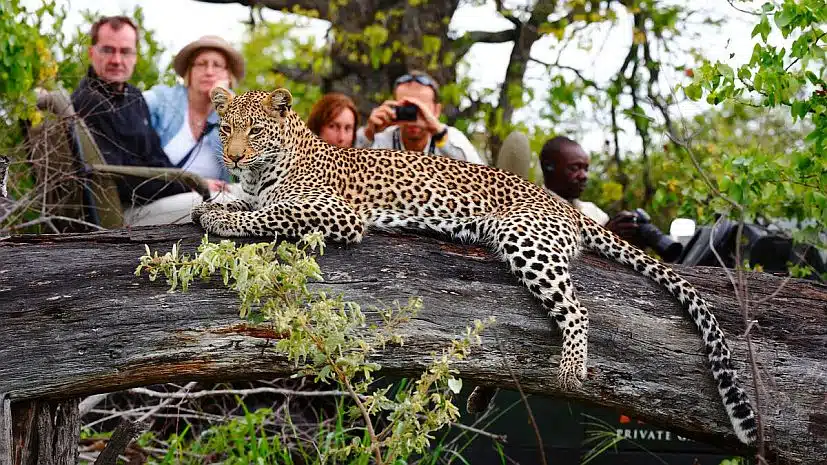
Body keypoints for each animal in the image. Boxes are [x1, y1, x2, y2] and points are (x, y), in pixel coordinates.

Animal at [192, 85, 756, 444]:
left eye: (255, 131)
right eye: (227, 130)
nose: (234, 157)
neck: (266, 168)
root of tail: (566, 205)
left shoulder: (337, 213)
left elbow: (269, 213)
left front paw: (219, 217)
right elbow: (249, 203)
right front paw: (215, 203)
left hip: (526, 238)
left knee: (577, 310)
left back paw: (571, 368)